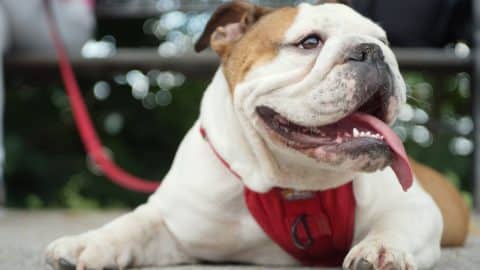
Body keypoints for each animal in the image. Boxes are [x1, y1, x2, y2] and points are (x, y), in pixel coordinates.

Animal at [46, 1, 468, 268]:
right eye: (309, 42)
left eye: (384, 40)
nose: (373, 51)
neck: (292, 184)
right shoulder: (174, 222)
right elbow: (132, 225)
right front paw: (88, 242)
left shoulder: (416, 208)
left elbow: (394, 225)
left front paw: (382, 249)